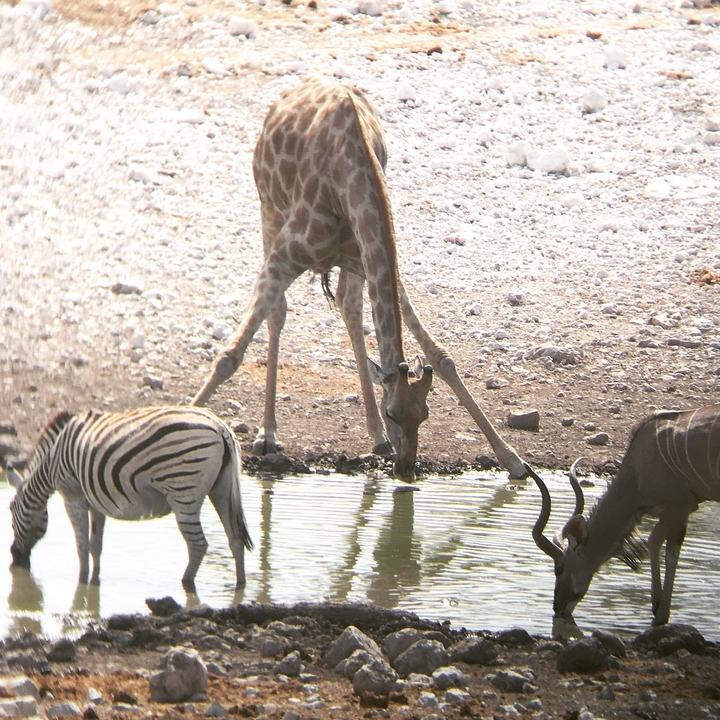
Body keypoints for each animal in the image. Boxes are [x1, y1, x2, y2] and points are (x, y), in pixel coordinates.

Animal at [8, 406, 253, 592]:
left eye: (10, 509)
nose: (14, 557)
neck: (51, 463)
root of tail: (220, 427)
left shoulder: (73, 496)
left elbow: (82, 546)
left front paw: (82, 581)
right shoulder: (95, 501)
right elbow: (96, 545)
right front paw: (94, 582)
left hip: (183, 490)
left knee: (198, 545)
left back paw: (186, 584)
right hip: (221, 489)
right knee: (235, 538)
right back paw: (240, 587)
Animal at [192, 76, 527, 481]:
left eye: (424, 415)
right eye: (393, 413)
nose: (406, 469)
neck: (348, 182)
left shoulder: (373, 257)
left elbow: (441, 356)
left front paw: (512, 459)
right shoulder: (284, 258)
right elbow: (230, 356)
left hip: (348, 263)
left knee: (348, 307)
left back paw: (376, 438)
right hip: (268, 211)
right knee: (279, 313)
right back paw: (268, 435)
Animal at [528, 406, 720, 626]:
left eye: (559, 568)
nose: (557, 608)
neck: (637, 469)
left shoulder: (679, 505)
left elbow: (671, 551)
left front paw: (661, 616)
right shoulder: (676, 510)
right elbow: (654, 540)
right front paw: (656, 606)